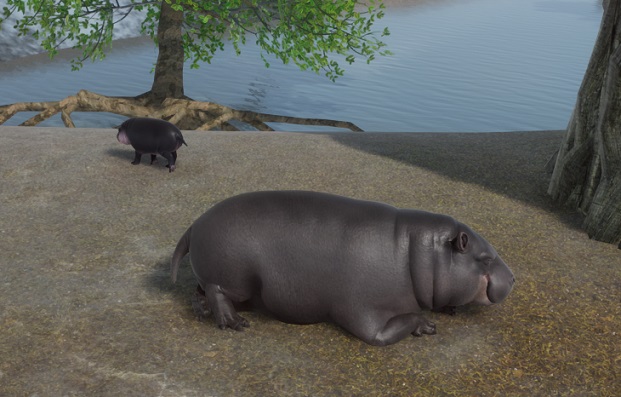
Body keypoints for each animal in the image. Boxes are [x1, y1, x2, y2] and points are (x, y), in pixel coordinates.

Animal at [171, 190, 512, 344]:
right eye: (485, 258)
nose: (512, 278)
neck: (418, 254)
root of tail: (194, 224)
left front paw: (446, 311)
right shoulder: (363, 312)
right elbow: (383, 333)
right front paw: (427, 326)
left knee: (199, 292)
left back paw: (205, 313)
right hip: (237, 278)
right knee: (216, 290)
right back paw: (234, 323)